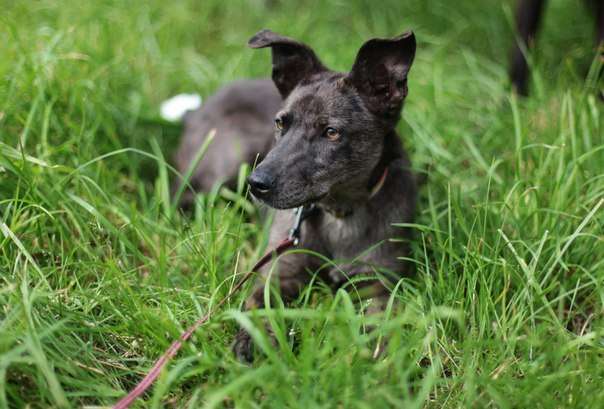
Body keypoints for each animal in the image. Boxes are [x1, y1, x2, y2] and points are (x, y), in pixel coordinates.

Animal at [175, 29, 418, 360]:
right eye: (280, 123)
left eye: (331, 132)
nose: (257, 184)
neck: (338, 214)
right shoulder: (280, 271)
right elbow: (261, 307)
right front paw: (255, 342)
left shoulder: (377, 281)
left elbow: (378, 318)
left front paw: (374, 354)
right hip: (226, 163)